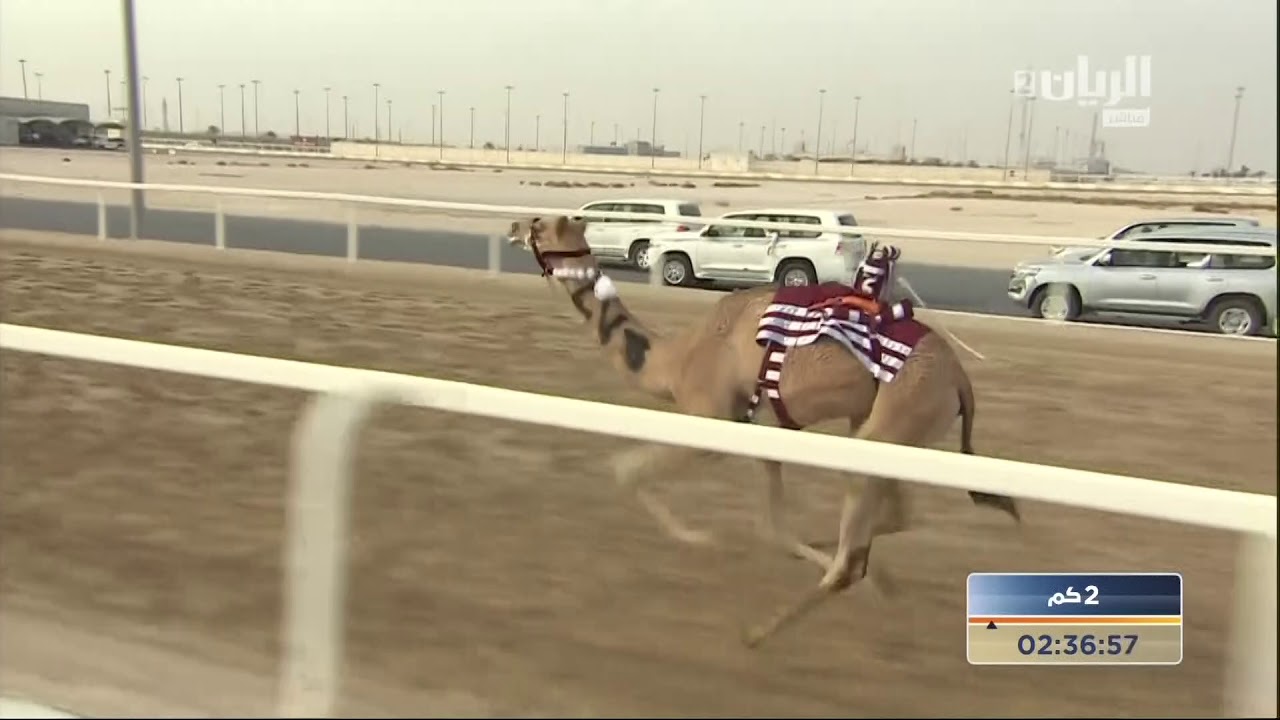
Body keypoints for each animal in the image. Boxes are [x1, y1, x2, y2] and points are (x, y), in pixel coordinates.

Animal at [506, 215, 1020, 647]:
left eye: (538, 225)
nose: (513, 227)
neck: (673, 361)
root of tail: (960, 378)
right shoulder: (763, 436)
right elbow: (773, 526)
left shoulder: (714, 420)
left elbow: (626, 470)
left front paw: (700, 538)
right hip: (883, 429)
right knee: (895, 514)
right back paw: (864, 572)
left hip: (898, 415)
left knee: (852, 557)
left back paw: (759, 632)